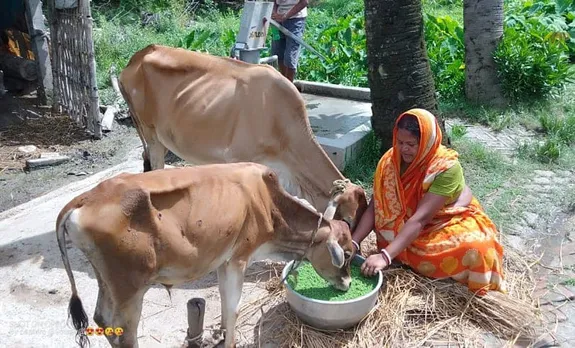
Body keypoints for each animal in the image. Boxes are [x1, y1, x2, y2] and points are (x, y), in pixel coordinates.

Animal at [57, 162, 356, 348]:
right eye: (347, 254)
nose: (348, 283)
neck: (269, 204)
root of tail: (84, 199)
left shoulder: (224, 260)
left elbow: (224, 300)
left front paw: (221, 334)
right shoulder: (239, 258)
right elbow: (234, 306)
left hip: (107, 280)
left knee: (102, 319)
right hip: (129, 287)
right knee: (124, 331)